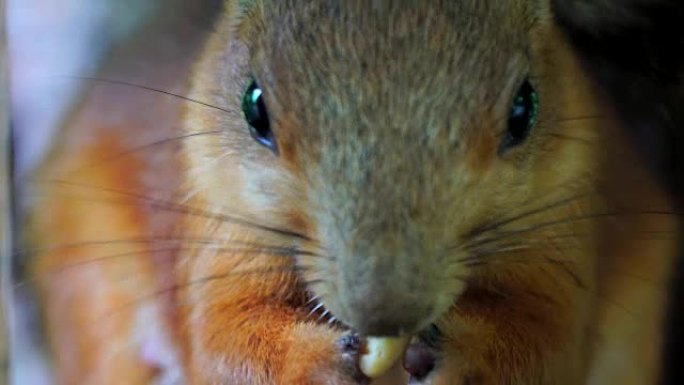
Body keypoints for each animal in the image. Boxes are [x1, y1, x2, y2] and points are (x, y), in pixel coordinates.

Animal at [25, 0, 684, 384]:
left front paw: (461, 357)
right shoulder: (212, 230)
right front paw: (316, 359)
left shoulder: (565, 224)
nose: (387, 310)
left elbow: (547, 341)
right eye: (254, 108)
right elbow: (224, 343)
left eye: (524, 110)